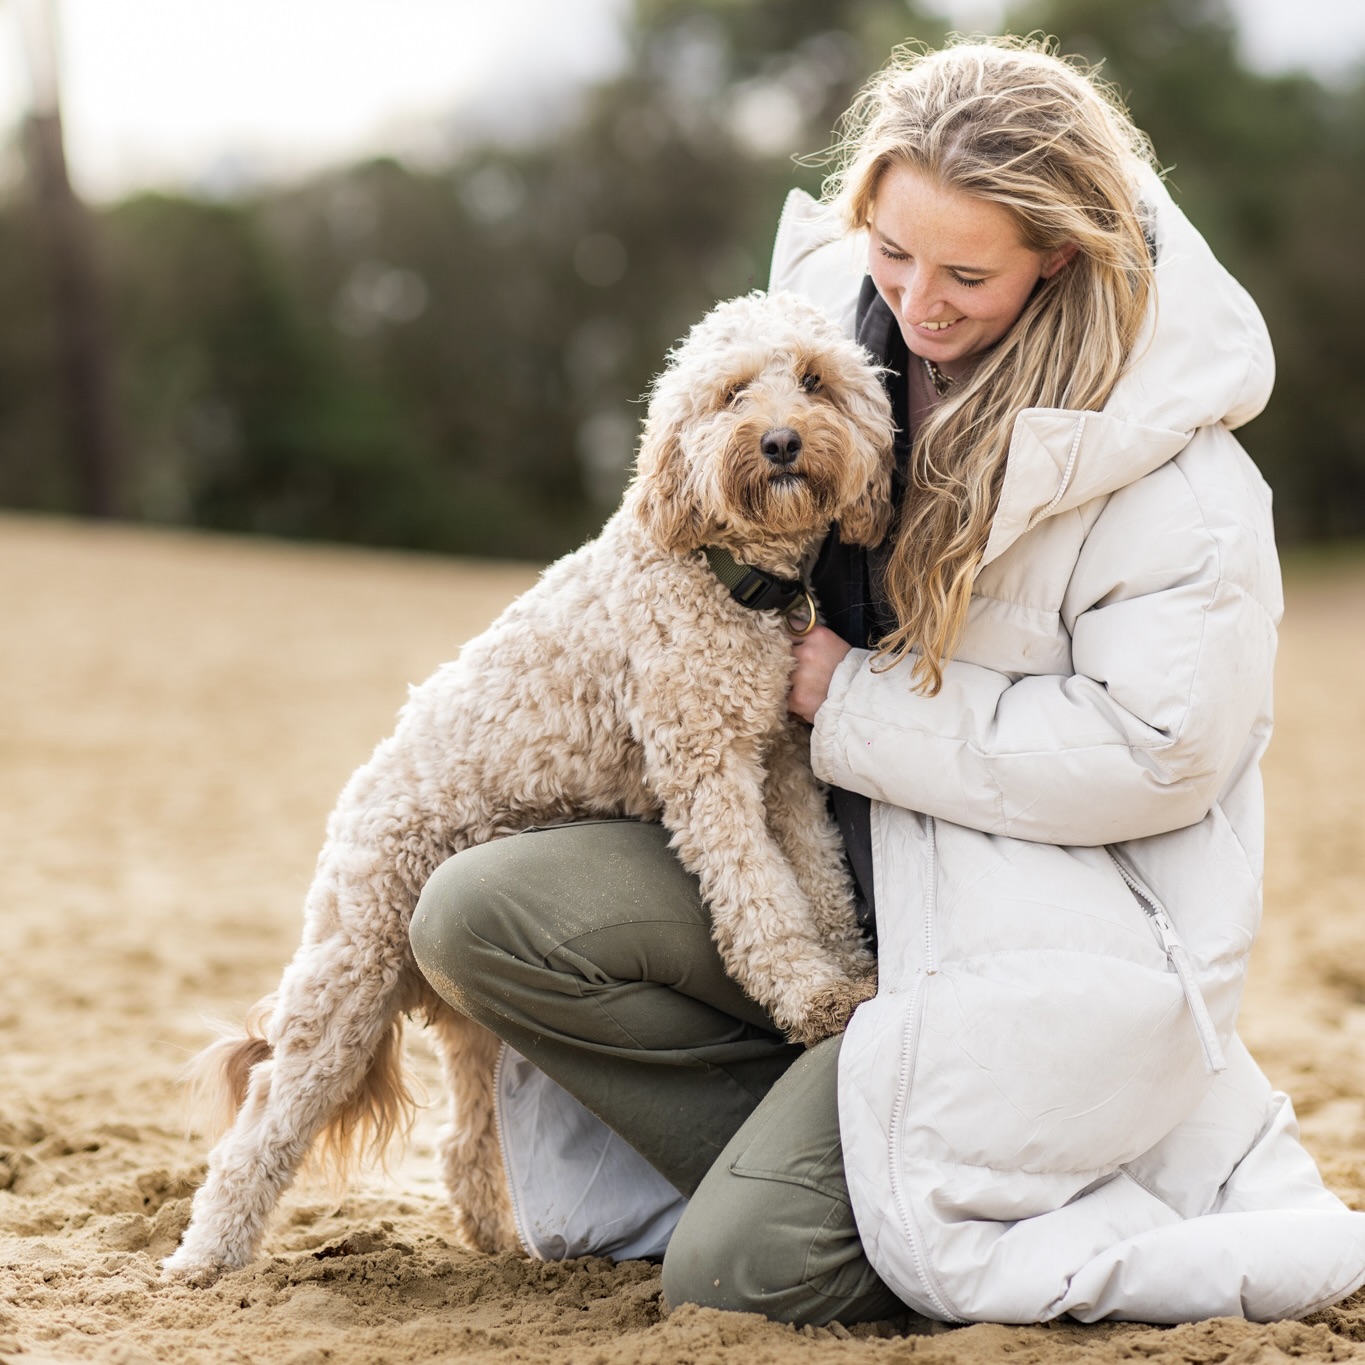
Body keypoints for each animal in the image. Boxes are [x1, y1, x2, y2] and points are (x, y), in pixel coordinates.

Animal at [165, 293, 895, 1283]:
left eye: (816, 381)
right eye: (732, 391)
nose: (780, 440)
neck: (721, 573)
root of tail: (353, 807)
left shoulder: (780, 763)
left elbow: (816, 877)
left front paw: (846, 976)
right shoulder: (705, 765)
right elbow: (759, 899)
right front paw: (808, 991)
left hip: (460, 1017)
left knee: (460, 1141)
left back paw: (501, 1245)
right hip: (347, 981)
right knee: (266, 1118)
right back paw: (204, 1259)